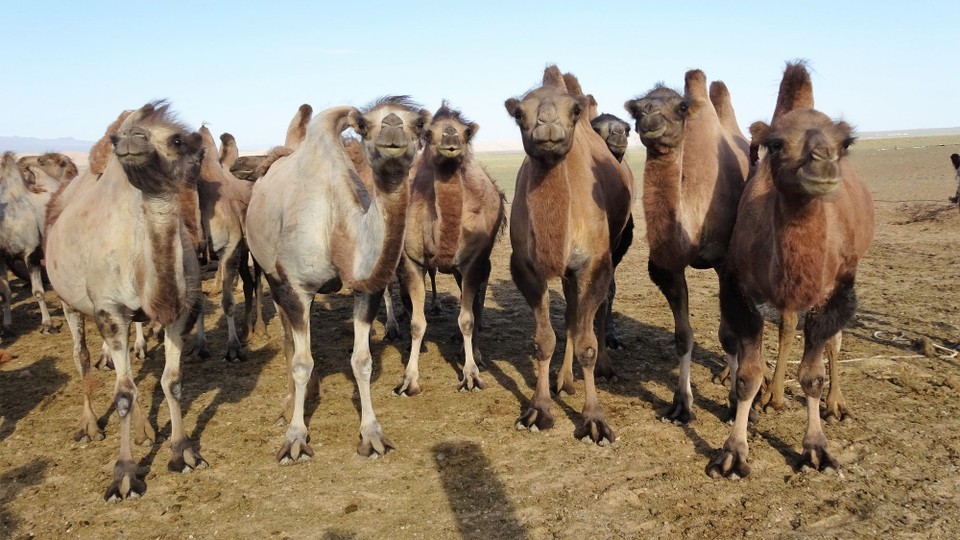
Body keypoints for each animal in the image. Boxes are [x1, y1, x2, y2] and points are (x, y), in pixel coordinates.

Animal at [246, 96, 430, 460]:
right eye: (365, 126)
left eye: (418, 124)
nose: (392, 127)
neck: (336, 225)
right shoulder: (296, 287)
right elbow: (301, 362)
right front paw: (295, 438)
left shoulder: (365, 289)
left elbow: (362, 361)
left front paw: (372, 436)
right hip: (273, 276)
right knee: (289, 340)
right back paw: (290, 404)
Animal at [392, 102, 510, 396]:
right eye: (429, 133)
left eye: (466, 133)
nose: (450, 141)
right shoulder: (411, 261)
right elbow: (417, 323)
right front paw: (408, 380)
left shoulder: (472, 262)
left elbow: (467, 319)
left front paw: (471, 375)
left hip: (480, 262)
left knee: (477, 302)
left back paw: (474, 351)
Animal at [506, 67, 632, 446]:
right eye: (519, 113)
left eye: (574, 110)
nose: (547, 123)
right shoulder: (526, 268)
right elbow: (544, 339)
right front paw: (538, 410)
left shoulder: (594, 264)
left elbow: (587, 341)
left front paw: (594, 421)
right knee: (572, 315)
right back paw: (564, 381)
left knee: (597, 307)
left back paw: (603, 366)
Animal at [624, 68, 752, 422]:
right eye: (637, 108)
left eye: (680, 107)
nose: (650, 119)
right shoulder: (666, 268)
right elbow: (683, 337)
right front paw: (681, 404)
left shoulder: (724, 265)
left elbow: (728, 336)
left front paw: (734, 404)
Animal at [708, 61, 872, 478]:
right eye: (777, 144)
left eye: (845, 143)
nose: (824, 160)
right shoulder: (740, 291)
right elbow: (747, 376)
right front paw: (733, 452)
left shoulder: (836, 293)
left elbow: (812, 376)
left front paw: (816, 449)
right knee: (788, 326)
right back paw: (774, 395)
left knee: (833, 342)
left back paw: (835, 404)